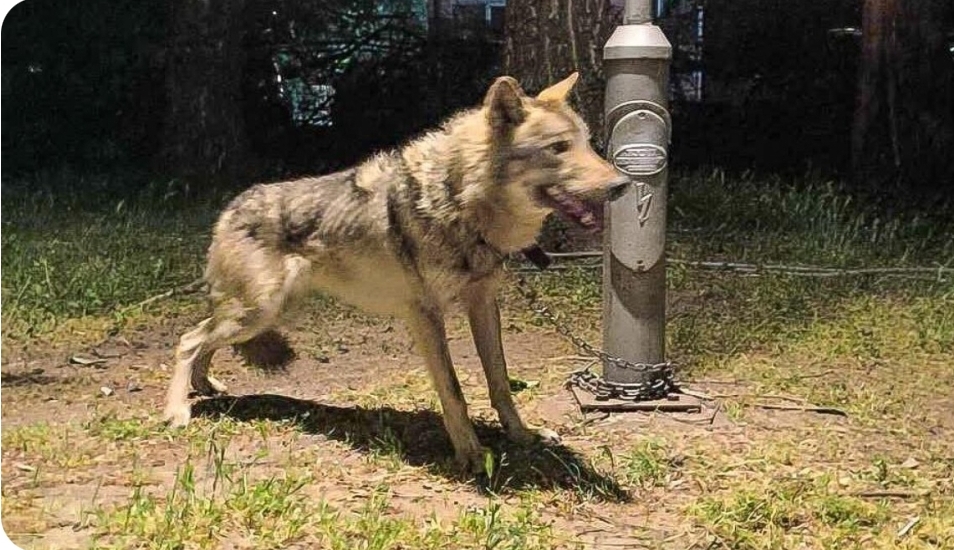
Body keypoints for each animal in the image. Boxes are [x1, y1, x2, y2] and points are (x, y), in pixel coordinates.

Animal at [163, 72, 629, 472]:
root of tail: (229, 208)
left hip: (265, 313)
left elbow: (499, 380)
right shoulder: (425, 315)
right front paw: (471, 455)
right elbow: (454, 391)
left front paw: (523, 436)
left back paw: (205, 387)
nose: (622, 185)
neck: (458, 203)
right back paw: (178, 409)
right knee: (189, 339)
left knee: (203, 338)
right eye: (558, 147)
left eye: (588, 144)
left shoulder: (483, 303)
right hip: (259, 312)